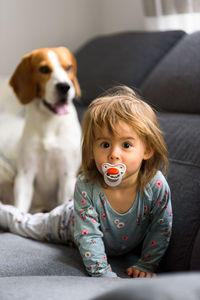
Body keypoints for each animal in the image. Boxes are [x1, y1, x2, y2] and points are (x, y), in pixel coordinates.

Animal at [9, 46, 81, 213]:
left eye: (68, 67)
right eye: (44, 69)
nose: (64, 86)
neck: (49, 123)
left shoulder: (67, 176)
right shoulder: (25, 175)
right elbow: (20, 208)